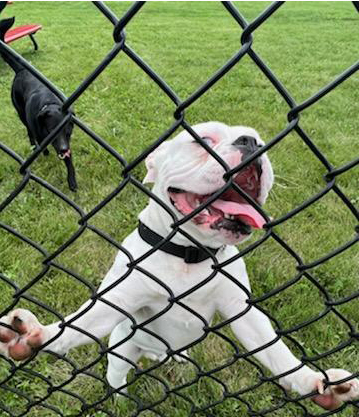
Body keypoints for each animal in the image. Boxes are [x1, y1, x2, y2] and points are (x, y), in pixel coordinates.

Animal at [0, 16, 76, 190]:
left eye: (68, 130)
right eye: (52, 130)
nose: (63, 148)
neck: (48, 104)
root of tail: (21, 69)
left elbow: (69, 162)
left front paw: (72, 180)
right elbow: (42, 142)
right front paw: (45, 152)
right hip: (21, 113)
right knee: (29, 132)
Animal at [0, 121, 359, 410]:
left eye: (260, 139)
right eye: (203, 140)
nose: (251, 143)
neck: (189, 253)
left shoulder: (243, 312)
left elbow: (278, 354)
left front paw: (316, 383)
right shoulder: (116, 301)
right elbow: (76, 326)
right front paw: (34, 335)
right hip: (121, 351)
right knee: (117, 377)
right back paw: (122, 401)